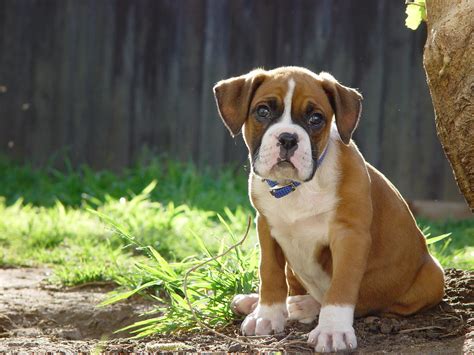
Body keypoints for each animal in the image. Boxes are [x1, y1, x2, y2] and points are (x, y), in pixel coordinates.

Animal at [213, 67, 446, 354]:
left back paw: (303, 306)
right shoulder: (266, 227)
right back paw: (258, 302)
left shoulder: (350, 236)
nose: (288, 138)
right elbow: (270, 272)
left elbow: (342, 287)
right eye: (263, 111)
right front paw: (266, 315)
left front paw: (333, 330)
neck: (296, 187)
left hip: (432, 277)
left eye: (316, 118)